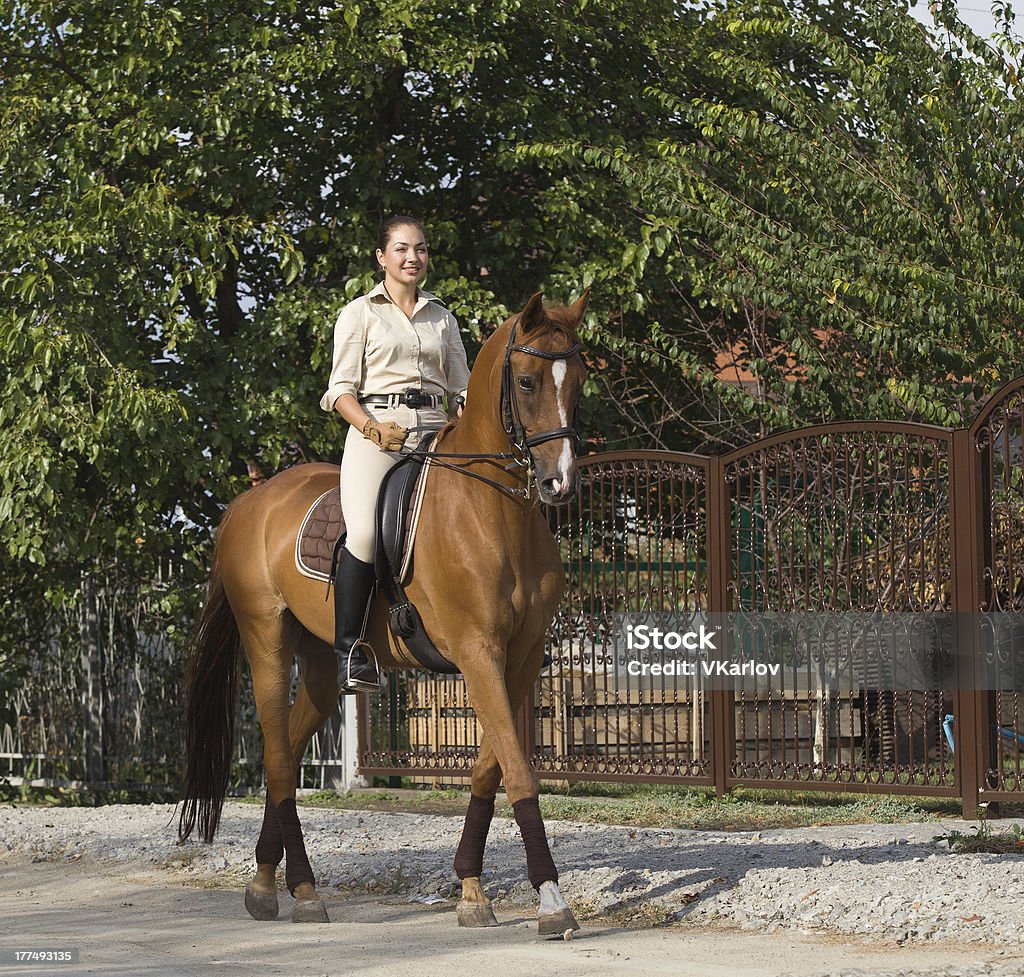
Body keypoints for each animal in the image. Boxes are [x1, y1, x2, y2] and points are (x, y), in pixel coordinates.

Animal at [180, 290, 589, 938]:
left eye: (578, 380)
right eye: (526, 381)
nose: (560, 482)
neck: (494, 510)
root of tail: (250, 500)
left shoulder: (519, 659)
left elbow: (490, 767)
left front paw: (471, 890)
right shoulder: (478, 652)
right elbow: (519, 770)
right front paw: (551, 898)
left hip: (320, 663)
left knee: (285, 755)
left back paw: (267, 883)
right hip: (266, 640)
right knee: (277, 757)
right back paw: (304, 890)